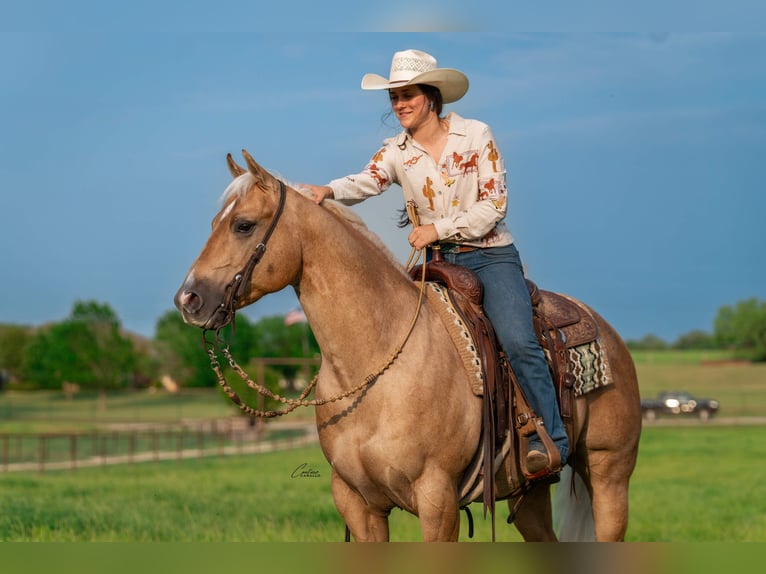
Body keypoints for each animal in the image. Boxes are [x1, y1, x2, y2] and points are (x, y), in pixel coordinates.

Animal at [174, 150, 642, 542]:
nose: (188, 300)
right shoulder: (358, 505)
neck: (375, 363)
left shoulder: (438, 502)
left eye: (243, 225)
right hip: (528, 492)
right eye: (216, 223)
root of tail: (605, 329)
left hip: (608, 474)